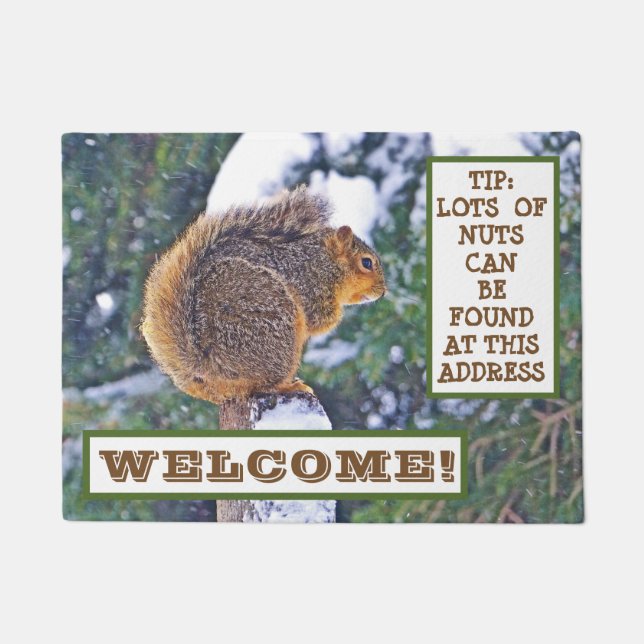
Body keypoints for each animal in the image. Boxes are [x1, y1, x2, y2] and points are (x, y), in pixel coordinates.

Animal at [141, 185, 386, 404]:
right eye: (366, 263)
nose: (383, 292)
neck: (320, 262)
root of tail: (209, 366)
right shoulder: (310, 289)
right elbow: (320, 320)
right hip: (277, 331)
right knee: (267, 385)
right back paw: (292, 386)